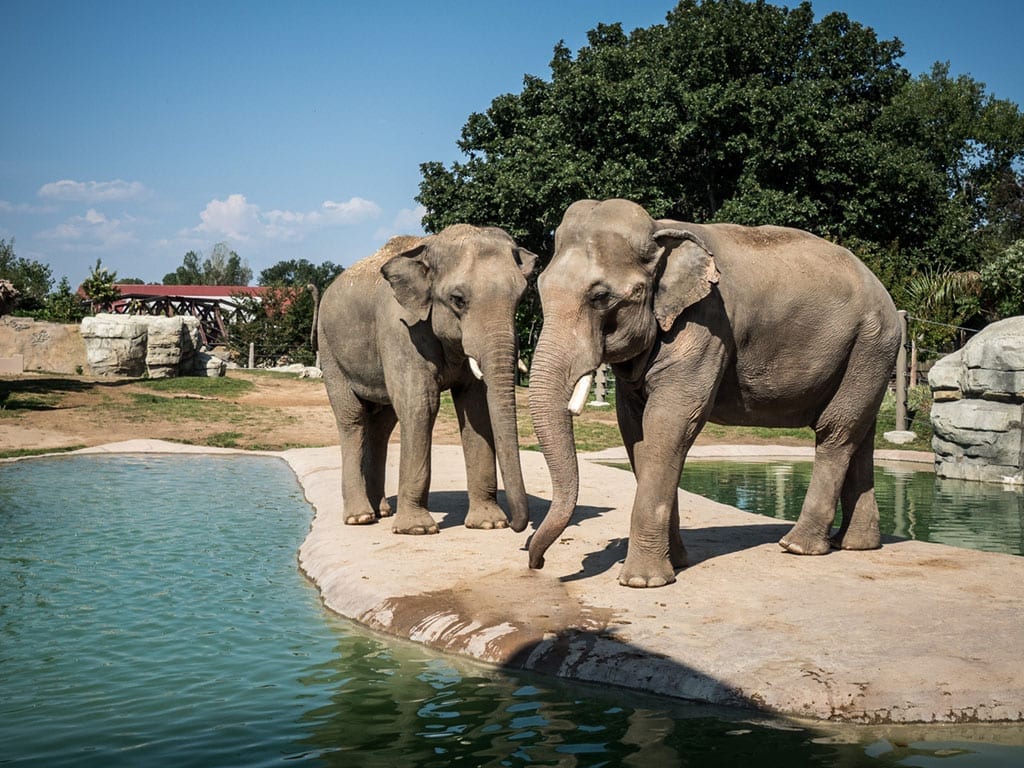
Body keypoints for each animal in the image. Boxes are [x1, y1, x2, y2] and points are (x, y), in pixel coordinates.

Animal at [317, 222, 540, 536]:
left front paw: (488, 523)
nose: (516, 526)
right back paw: (361, 517)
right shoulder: (401, 329)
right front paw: (417, 530)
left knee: (382, 425)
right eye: (458, 300)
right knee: (352, 419)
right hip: (329, 349)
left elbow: (475, 408)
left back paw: (382, 511)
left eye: (520, 298)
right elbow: (420, 405)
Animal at [524, 198, 901, 589]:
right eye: (540, 287)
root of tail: (884, 293)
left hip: (870, 344)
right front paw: (677, 563)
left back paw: (798, 546)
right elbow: (636, 430)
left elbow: (670, 423)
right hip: (868, 353)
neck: (659, 230)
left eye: (600, 297)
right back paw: (857, 544)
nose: (537, 563)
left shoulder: (706, 323)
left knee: (836, 432)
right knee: (860, 433)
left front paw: (642, 582)